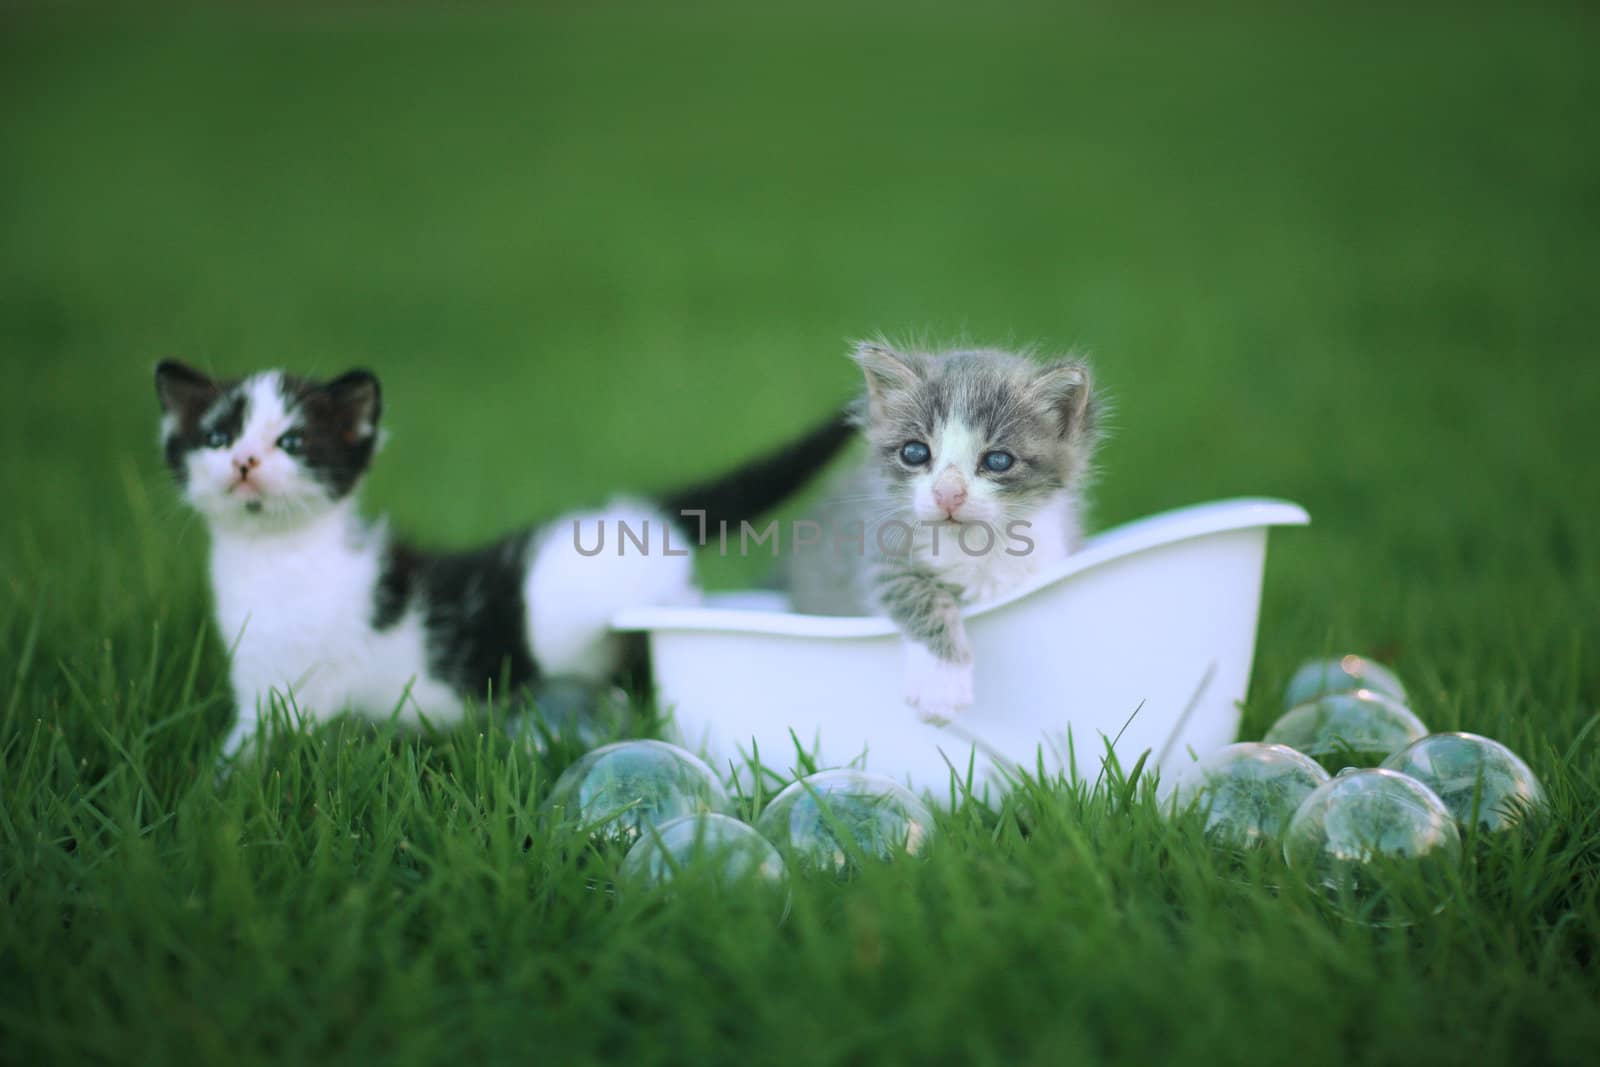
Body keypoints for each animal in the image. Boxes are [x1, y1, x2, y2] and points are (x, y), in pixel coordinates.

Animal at [152, 363, 851, 755]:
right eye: (217, 436)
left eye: (293, 442)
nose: (245, 462)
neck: (272, 559)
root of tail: (642, 514)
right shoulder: (259, 679)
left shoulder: (297, 690)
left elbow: (251, 751)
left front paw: (212, 799)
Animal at [787, 342, 1100, 726]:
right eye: (914, 452)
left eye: (998, 461)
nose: (948, 493)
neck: (976, 546)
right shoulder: (879, 550)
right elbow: (917, 595)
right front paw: (942, 683)